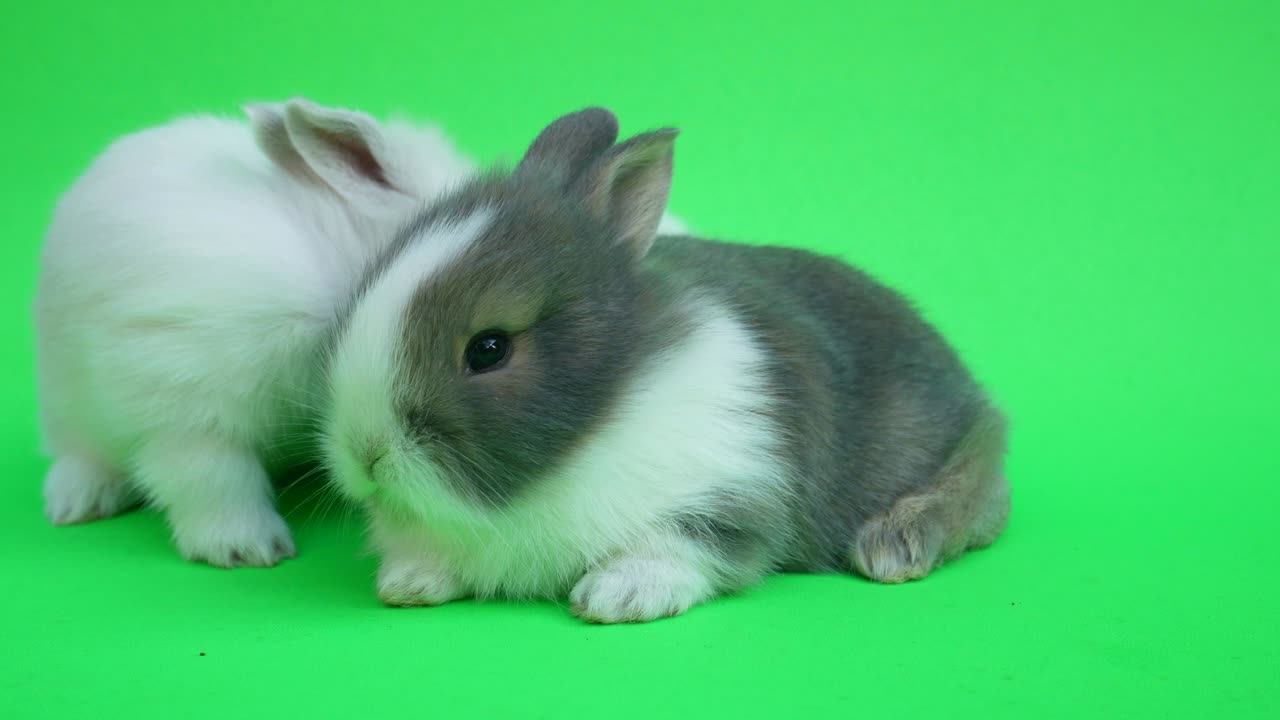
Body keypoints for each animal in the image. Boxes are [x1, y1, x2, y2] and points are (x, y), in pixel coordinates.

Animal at [35, 97, 478, 567]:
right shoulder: (185, 401)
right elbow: (212, 478)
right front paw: (249, 549)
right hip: (71, 409)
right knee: (82, 455)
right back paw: (78, 503)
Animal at [321, 107, 1010, 623]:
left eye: (489, 349)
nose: (366, 455)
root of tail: (974, 398)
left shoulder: (729, 488)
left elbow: (678, 546)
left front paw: (617, 595)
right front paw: (410, 582)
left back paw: (893, 546)